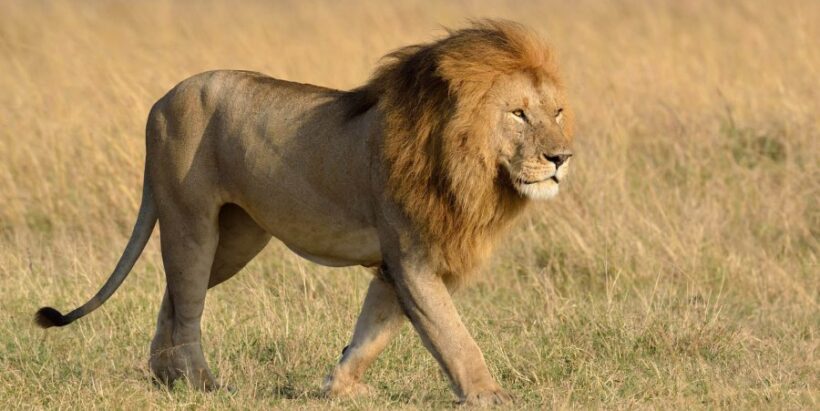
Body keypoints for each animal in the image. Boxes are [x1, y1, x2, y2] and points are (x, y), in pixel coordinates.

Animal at [34, 20, 573, 406]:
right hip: (191, 221)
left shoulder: (396, 266)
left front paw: (341, 386)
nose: (561, 158)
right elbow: (452, 333)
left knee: (176, 294)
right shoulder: (413, 257)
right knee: (187, 303)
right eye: (518, 113)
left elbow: (374, 330)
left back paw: (165, 375)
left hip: (237, 238)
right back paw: (199, 383)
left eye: (558, 112)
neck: (470, 167)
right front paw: (489, 393)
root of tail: (162, 100)